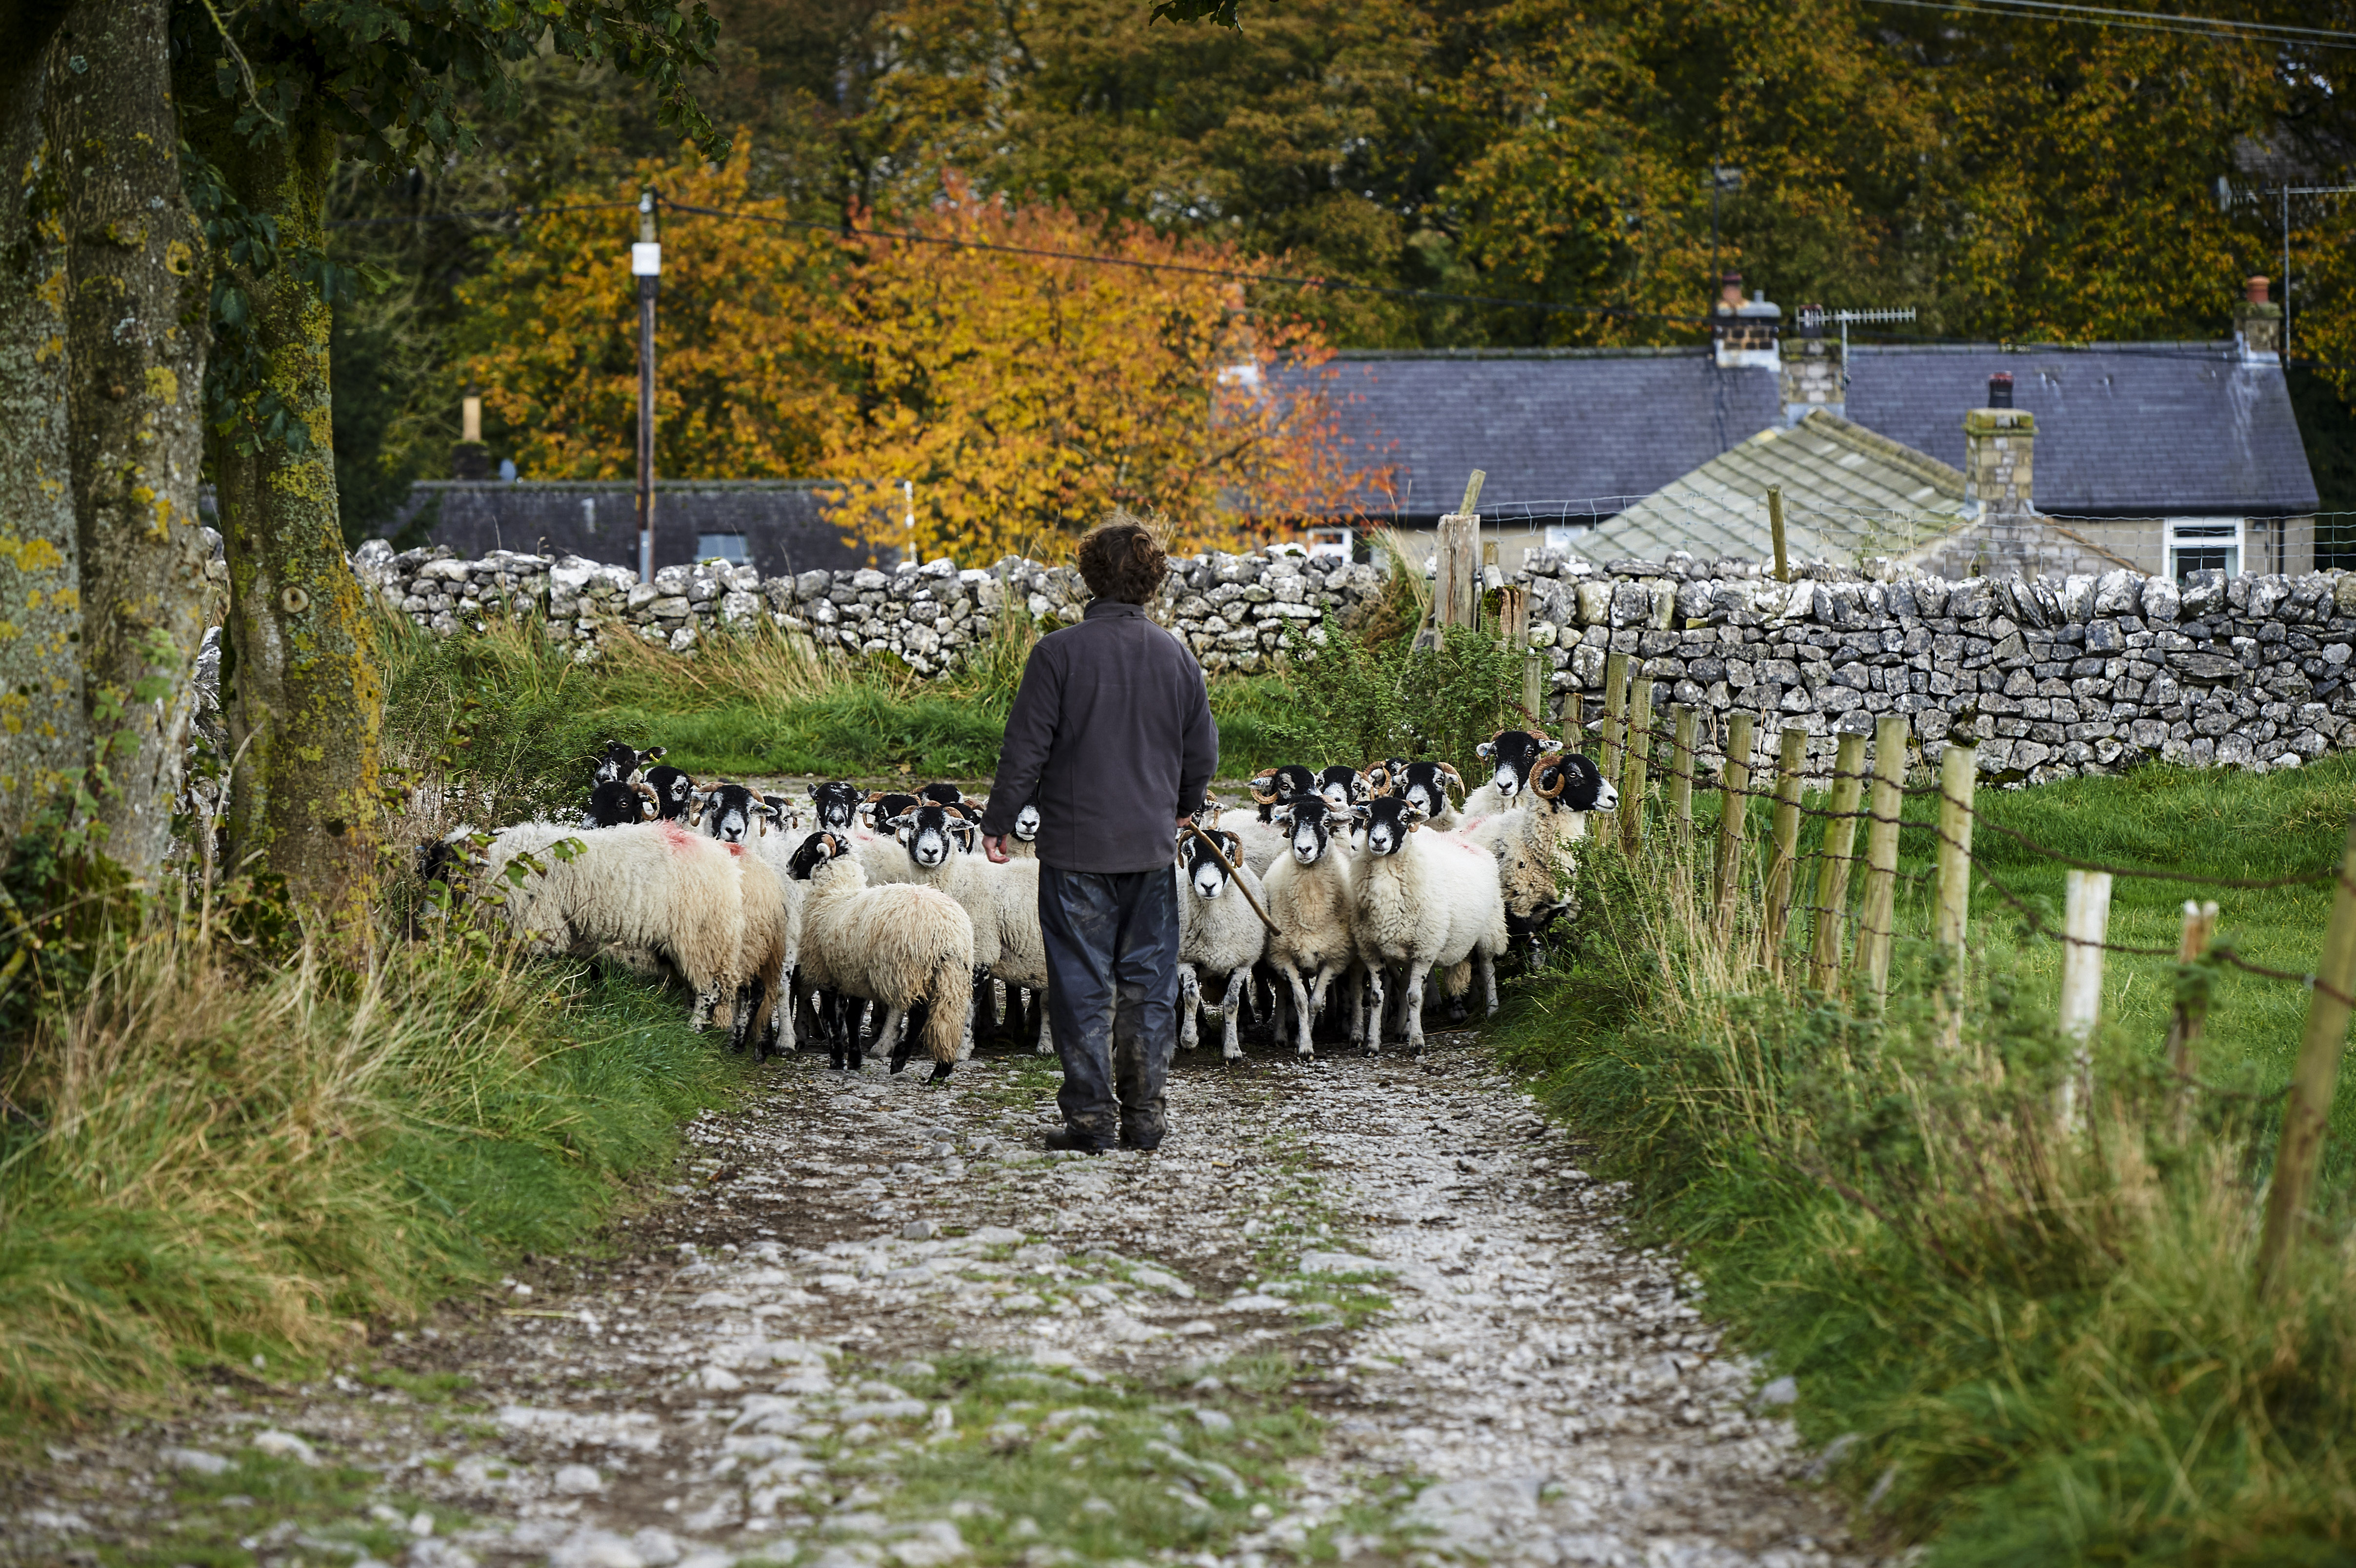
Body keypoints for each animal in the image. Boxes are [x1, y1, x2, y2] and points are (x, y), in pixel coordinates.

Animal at [787, 831, 975, 1080]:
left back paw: (899, 1061)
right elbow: (852, 1018)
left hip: (908, 969)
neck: (835, 894)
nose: (788, 867)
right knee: (948, 1018)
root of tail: (945, 932)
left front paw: (837, 1060)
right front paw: (854, 1060)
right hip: (953, 974)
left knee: (918, 1015)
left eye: (807, 849)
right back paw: (940, 1071)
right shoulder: (856, 976)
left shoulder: (826, 974)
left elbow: (832, 1020)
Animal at [1175, 827, 1268, 1062]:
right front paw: (1189, 1040)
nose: (1208, 887)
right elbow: (1191, 996)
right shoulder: (1184, 959)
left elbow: (1231, 1003)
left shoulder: (1241, 963)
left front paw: (1232, 1048)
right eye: (1189, 853)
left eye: (1228, 853)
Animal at [1259, 794, 1363, 1058]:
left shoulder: (1335, 959)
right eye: (1292, 822)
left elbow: (1315, 1002)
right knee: (1283, 991)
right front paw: (1303, 1044)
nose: (1304, 850)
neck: (1311, 909)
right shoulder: (1283, 956)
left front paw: (1305, 1040)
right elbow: (1300, 1000)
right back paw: (1281, 1035)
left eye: (1326, 822)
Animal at [1347, 795, 1508, 1057]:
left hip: (1489, 929)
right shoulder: (1372, 951)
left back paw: (1493, 1010)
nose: (1379, 841)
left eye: (1404, 818)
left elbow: (1414, 996)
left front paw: (1417, 1042)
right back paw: (1402, 1029)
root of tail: (1461, 839)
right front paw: (1372, 1044)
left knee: (1487, 968)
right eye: (1369, 815)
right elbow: (1376, 997)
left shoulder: (1424, 950)